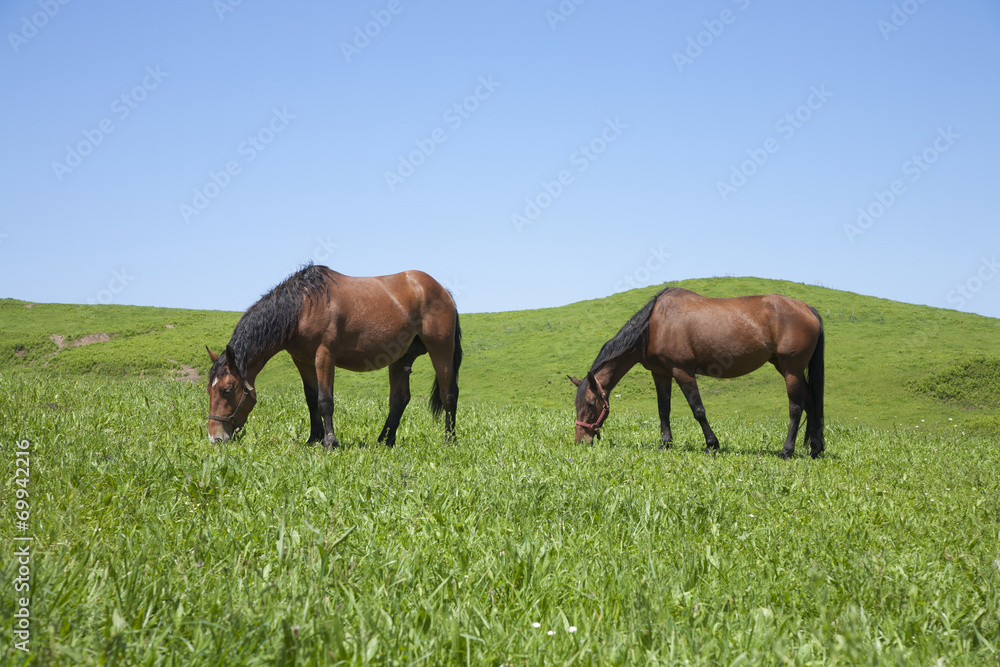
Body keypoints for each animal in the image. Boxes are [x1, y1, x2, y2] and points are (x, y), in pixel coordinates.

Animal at [208, 264, 464, 448]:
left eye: (226, 390)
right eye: (209, 390)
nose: (214, 438)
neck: (304, 306)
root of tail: (442, 290)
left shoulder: (324, 356)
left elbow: (325, 401)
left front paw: (330, 442)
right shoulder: (302, 360)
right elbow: (311, 399)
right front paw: (314, 438)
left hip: (441, 348)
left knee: (449, 394)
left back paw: (449, 440)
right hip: (401, 358)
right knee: (399, 399)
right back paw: (385, 440)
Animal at [576, 288, 824, 460]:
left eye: (591, 404)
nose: (580, 440)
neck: (653, 326)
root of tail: (807, 308)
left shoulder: (682, 371)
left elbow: (698, 410)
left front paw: (712, 444)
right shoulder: (661, 374)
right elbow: (663, 410)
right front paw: (665, 443)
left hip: (791, 370)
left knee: (796, 408)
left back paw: (786, 450)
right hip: (786, 368)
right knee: (811, 403)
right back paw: (816, 448)